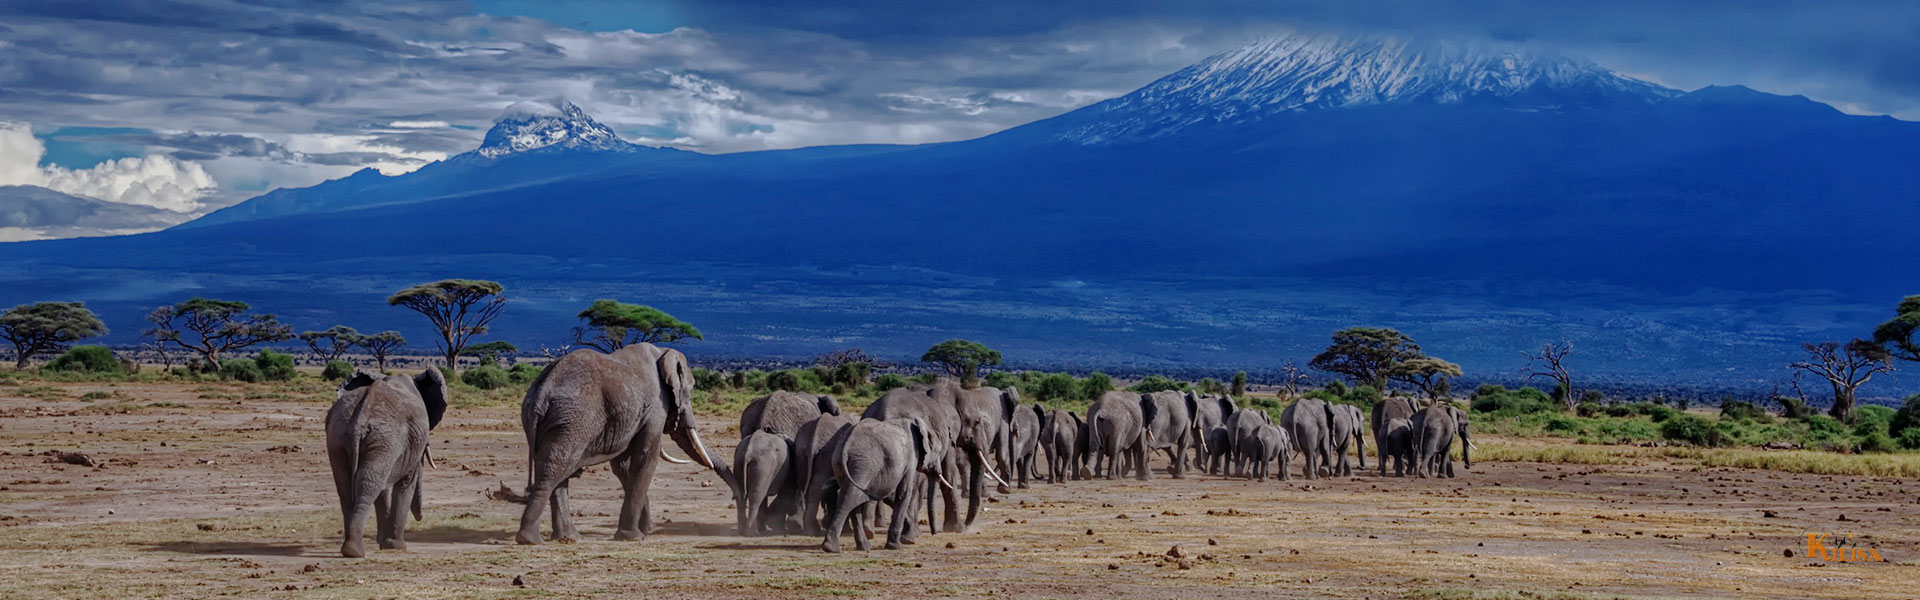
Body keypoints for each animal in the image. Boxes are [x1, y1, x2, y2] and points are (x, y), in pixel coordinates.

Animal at [332, 367, 451, 561]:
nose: (421, 517)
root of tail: (360, 420)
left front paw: (384, 542)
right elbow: (405, 485)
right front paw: (396, 546)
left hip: (340, 437)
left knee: (347, 487)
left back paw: (349, 549)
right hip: (384, 438)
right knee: (368, 484)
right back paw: (355, 551)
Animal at [518, 342, 725, 542]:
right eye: (690, 390)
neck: (662, 351)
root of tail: (542, 391)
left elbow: (622, 466)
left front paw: (648, 530)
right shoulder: (657, 405)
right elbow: (646, 459)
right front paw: (634, 537)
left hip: (549, 420)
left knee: (556, 468)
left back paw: (568, 538)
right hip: (573, 420)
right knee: (556, 468)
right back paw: (530, 539)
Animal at [821, 417, 948, 553]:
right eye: (939, 451)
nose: (934, 533)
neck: (919, 425)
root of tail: (847, 442)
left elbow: (891, 495)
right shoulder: (911, 459)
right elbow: (904, 493)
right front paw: (897, 546)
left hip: (840, 464)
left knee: (852, 497)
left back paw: (863, 547)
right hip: (864, 464)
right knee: (851, 496)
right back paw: (832, 547)